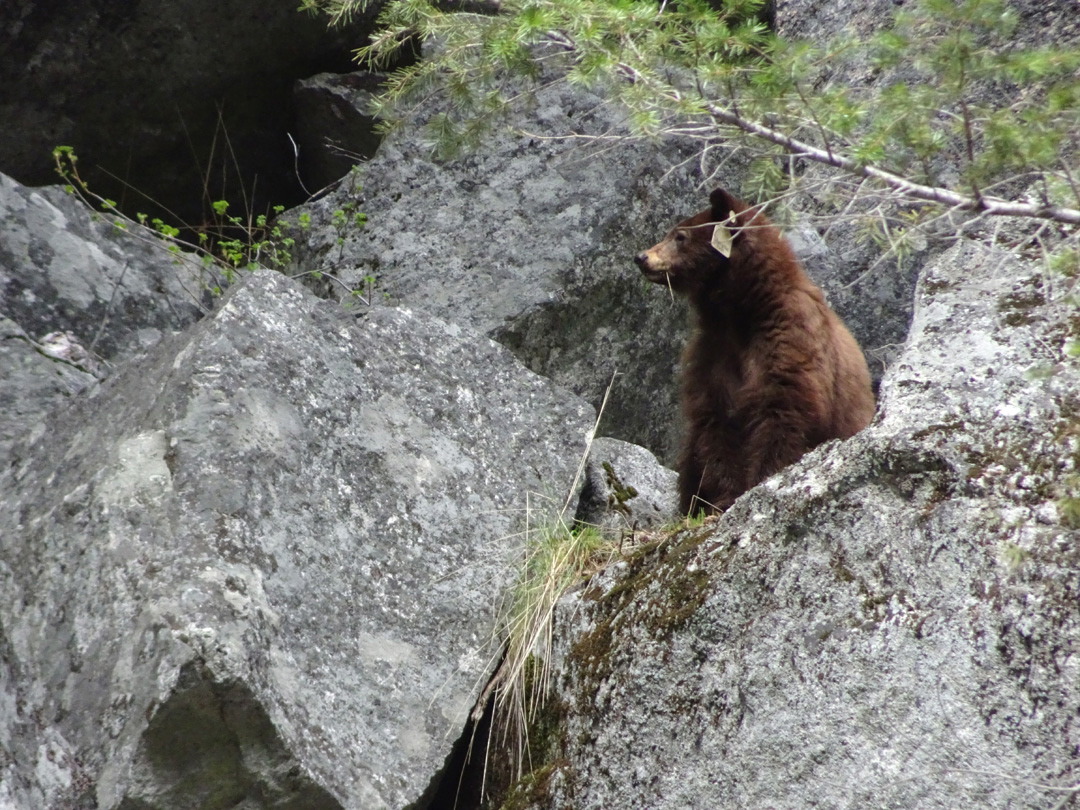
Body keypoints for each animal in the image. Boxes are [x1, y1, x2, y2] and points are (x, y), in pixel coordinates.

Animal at [635, 187, 875, 515]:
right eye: (672, 232)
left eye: (680, 236)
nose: (641, 257)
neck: (741, 313)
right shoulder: (714, 352)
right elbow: (717, 421)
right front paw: (723, 498)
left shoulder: (790, 340)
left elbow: (783, 410)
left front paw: (761, 482)